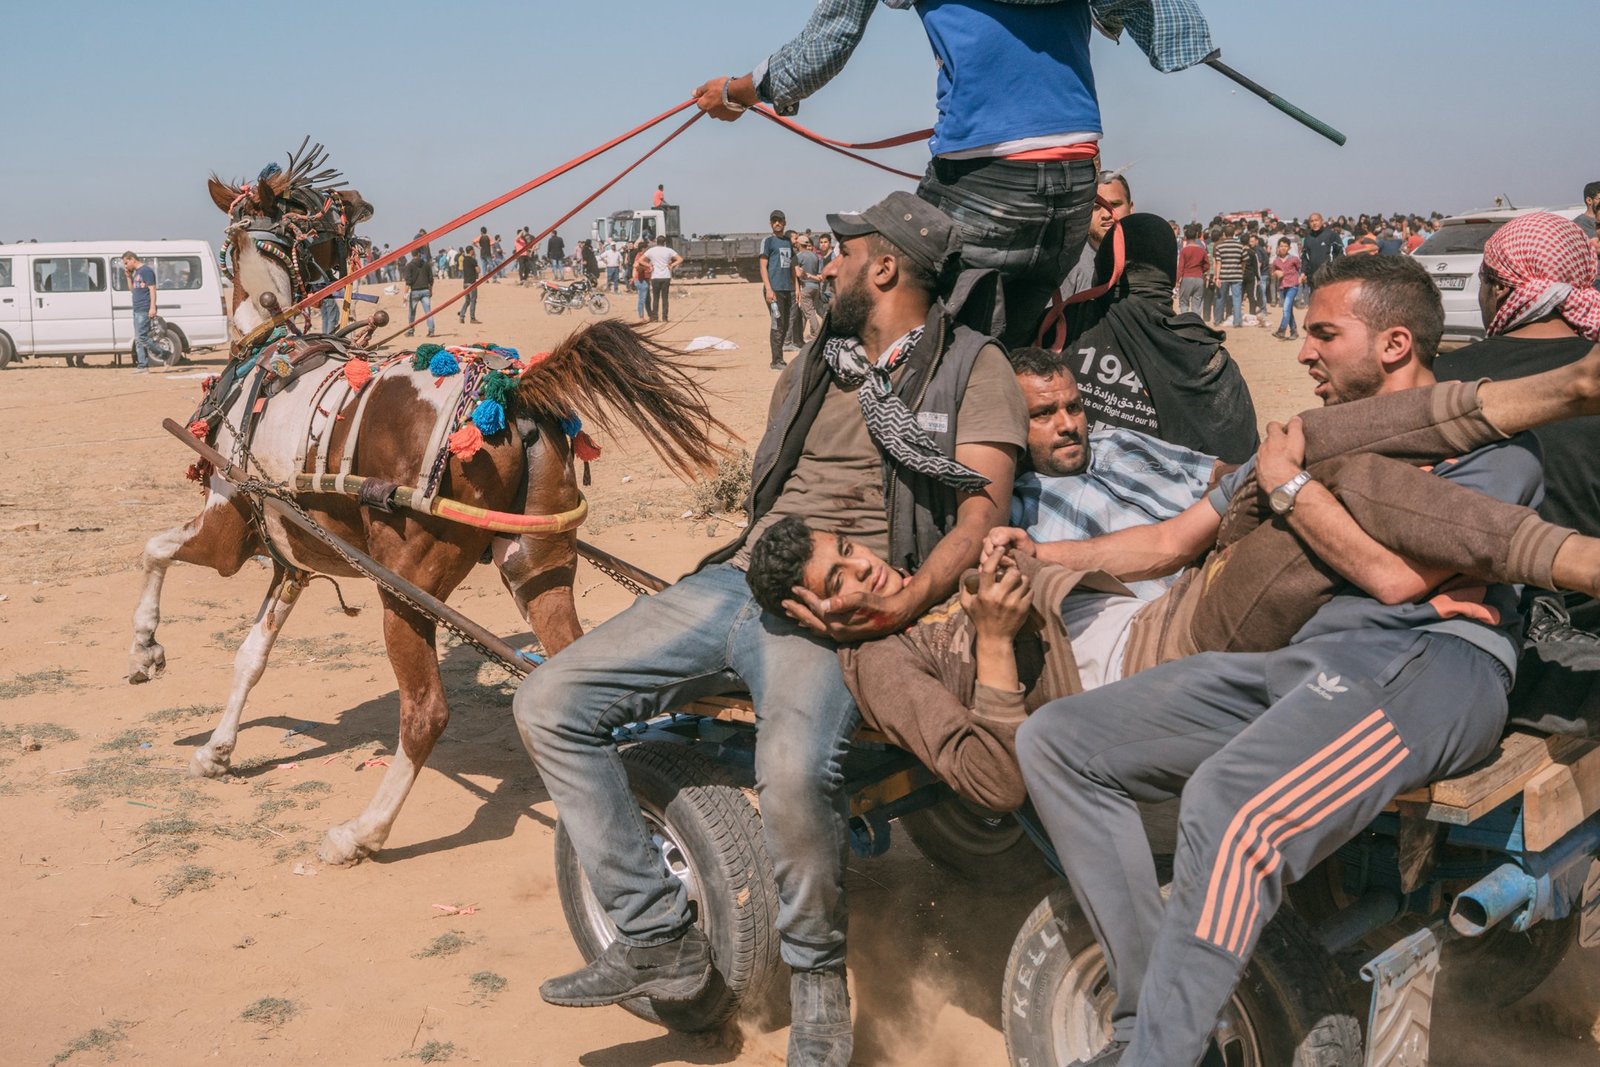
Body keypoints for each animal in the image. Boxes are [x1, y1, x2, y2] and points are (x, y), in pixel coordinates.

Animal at [131, 151, 732, 870]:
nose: (362, 213)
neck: (270, 350)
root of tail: (512, 394)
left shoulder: (228, 531)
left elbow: (155, 550)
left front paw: (145, 647)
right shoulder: (293, 559)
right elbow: (250, 655)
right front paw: (216, 750)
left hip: (405, 587)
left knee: (425, 713)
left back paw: (361, 833)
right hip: (537, 564)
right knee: (572, 677)